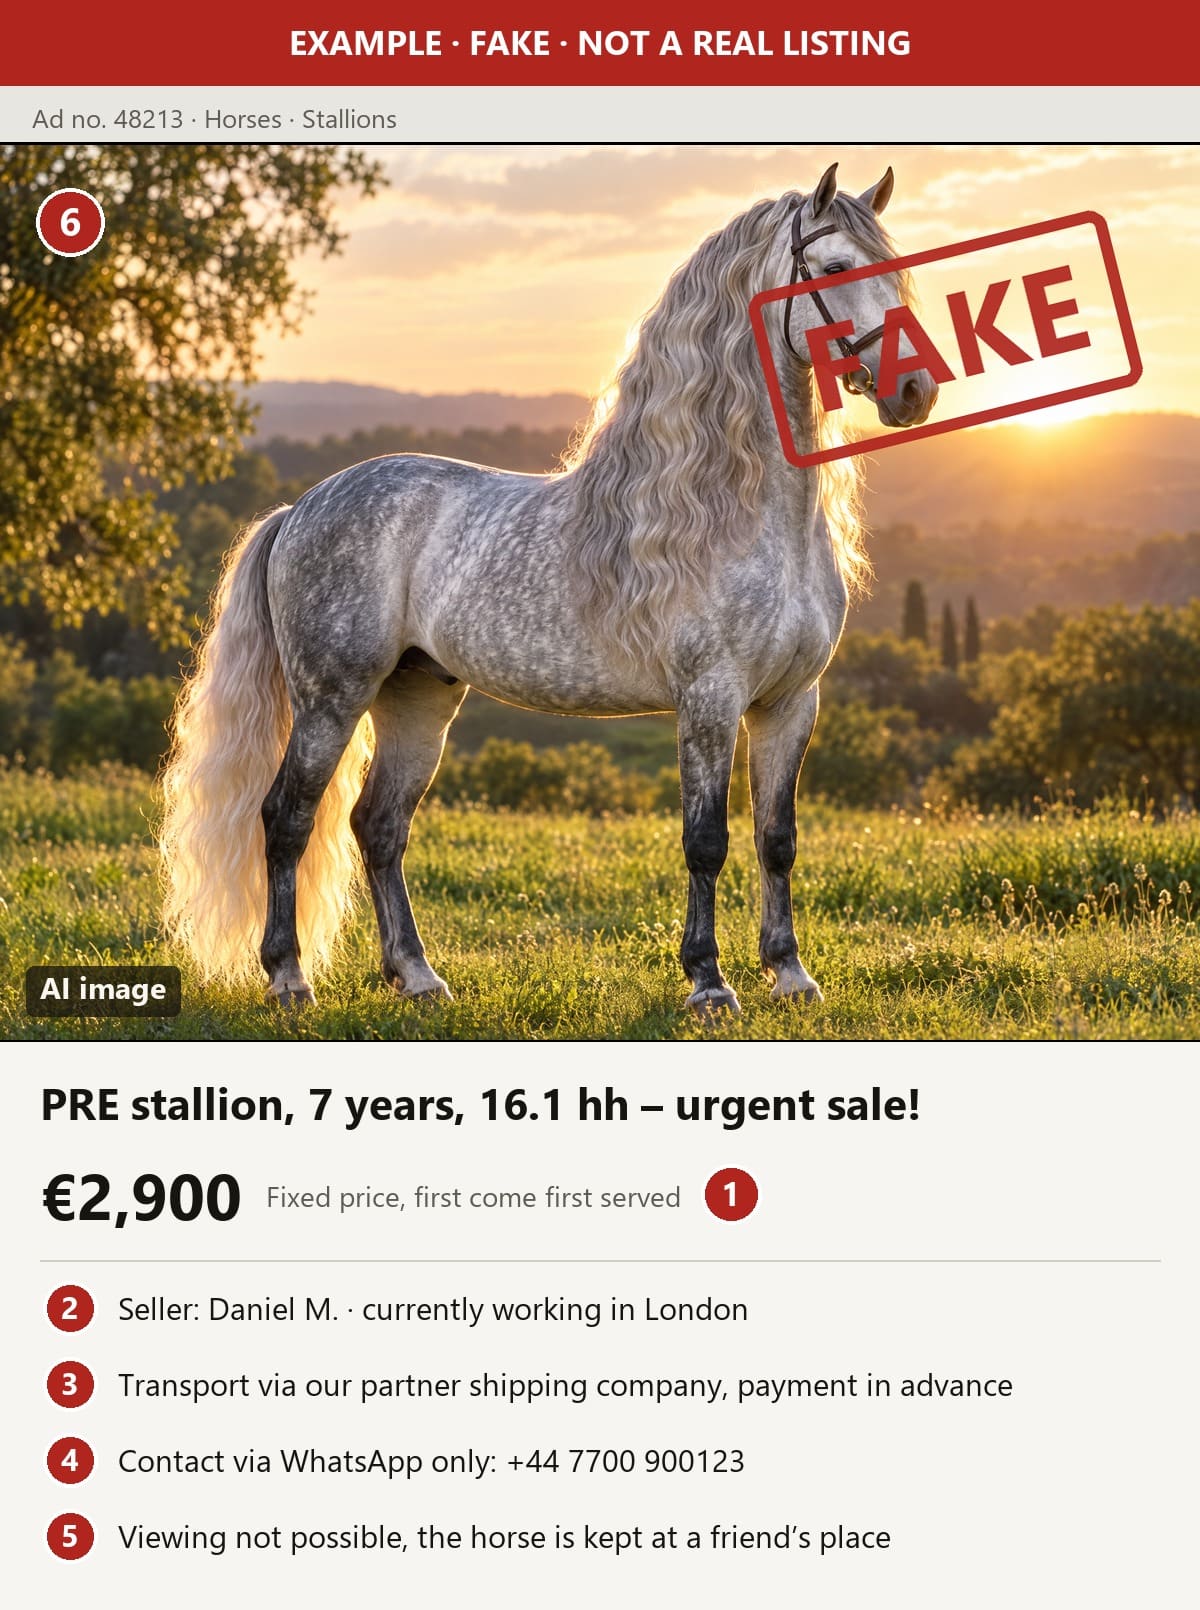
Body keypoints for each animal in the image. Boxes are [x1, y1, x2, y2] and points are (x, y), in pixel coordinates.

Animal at [160, 161, 938, 1016]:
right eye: (834, 269)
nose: (915, 391)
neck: (742, 515)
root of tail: (298, 509)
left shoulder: (792, 701)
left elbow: (777, 838)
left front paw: (791, 974)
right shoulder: (710, 697)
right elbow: (707, 841)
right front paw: (708, 982)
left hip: (418, 695)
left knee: (379, 826)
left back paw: (419, 977)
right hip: (332, 696)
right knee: (287, 817)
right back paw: (289, 978)